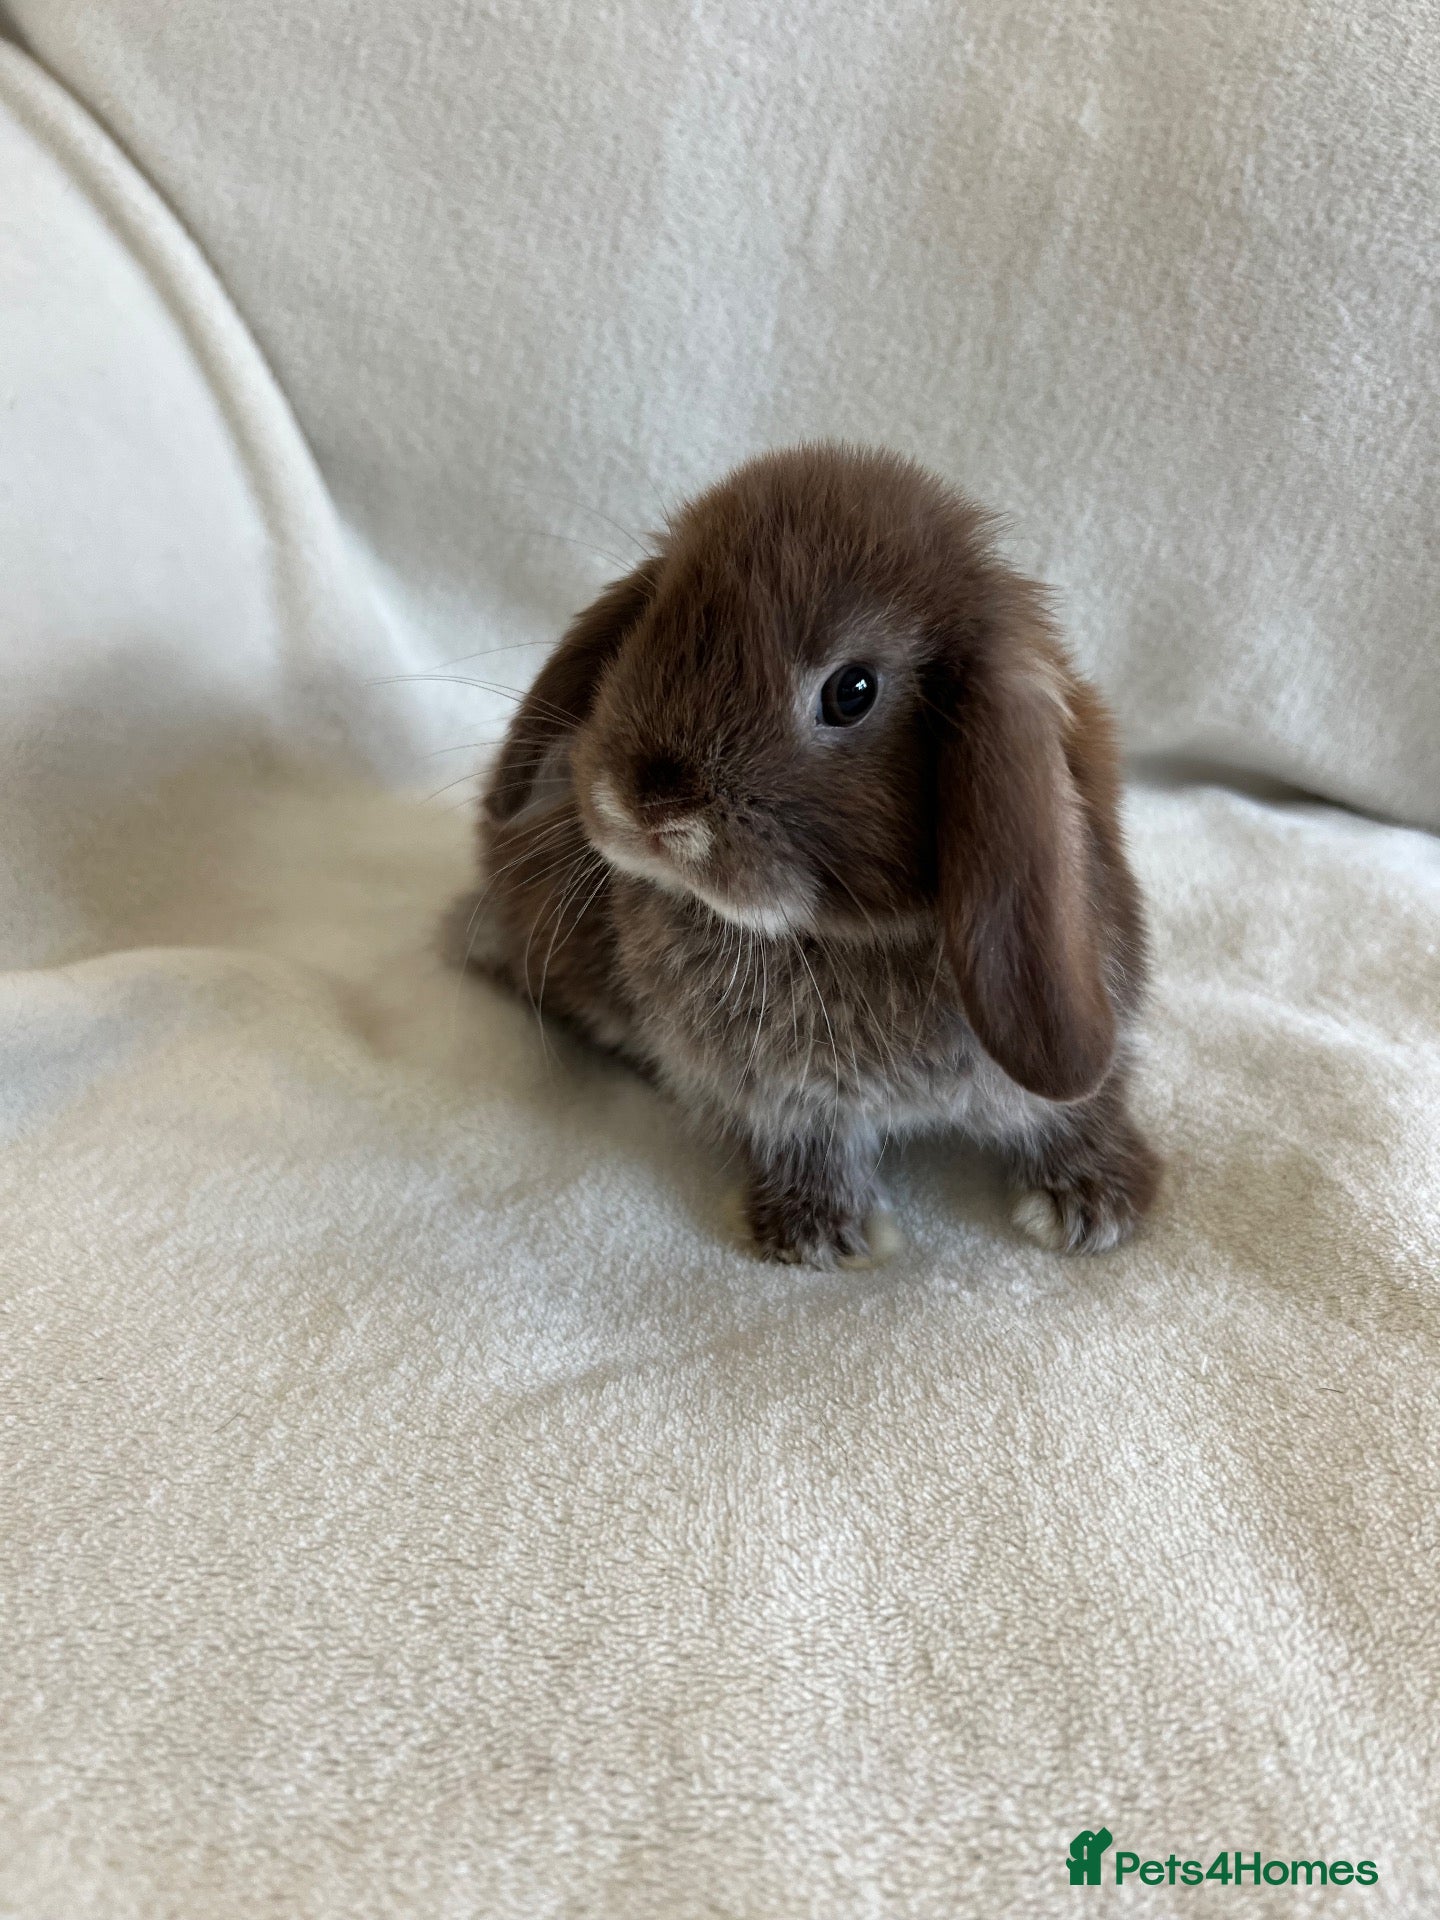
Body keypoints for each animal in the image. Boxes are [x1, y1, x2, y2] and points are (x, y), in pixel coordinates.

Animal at [457, 444, 1160, 1267]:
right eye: (647, 626)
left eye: (852, 690)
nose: (649, 804)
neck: (839, 937)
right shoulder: (779, 1101)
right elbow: (806, 1146)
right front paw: (816, 1234)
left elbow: (1076, 1107)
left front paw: (1095, 1201)